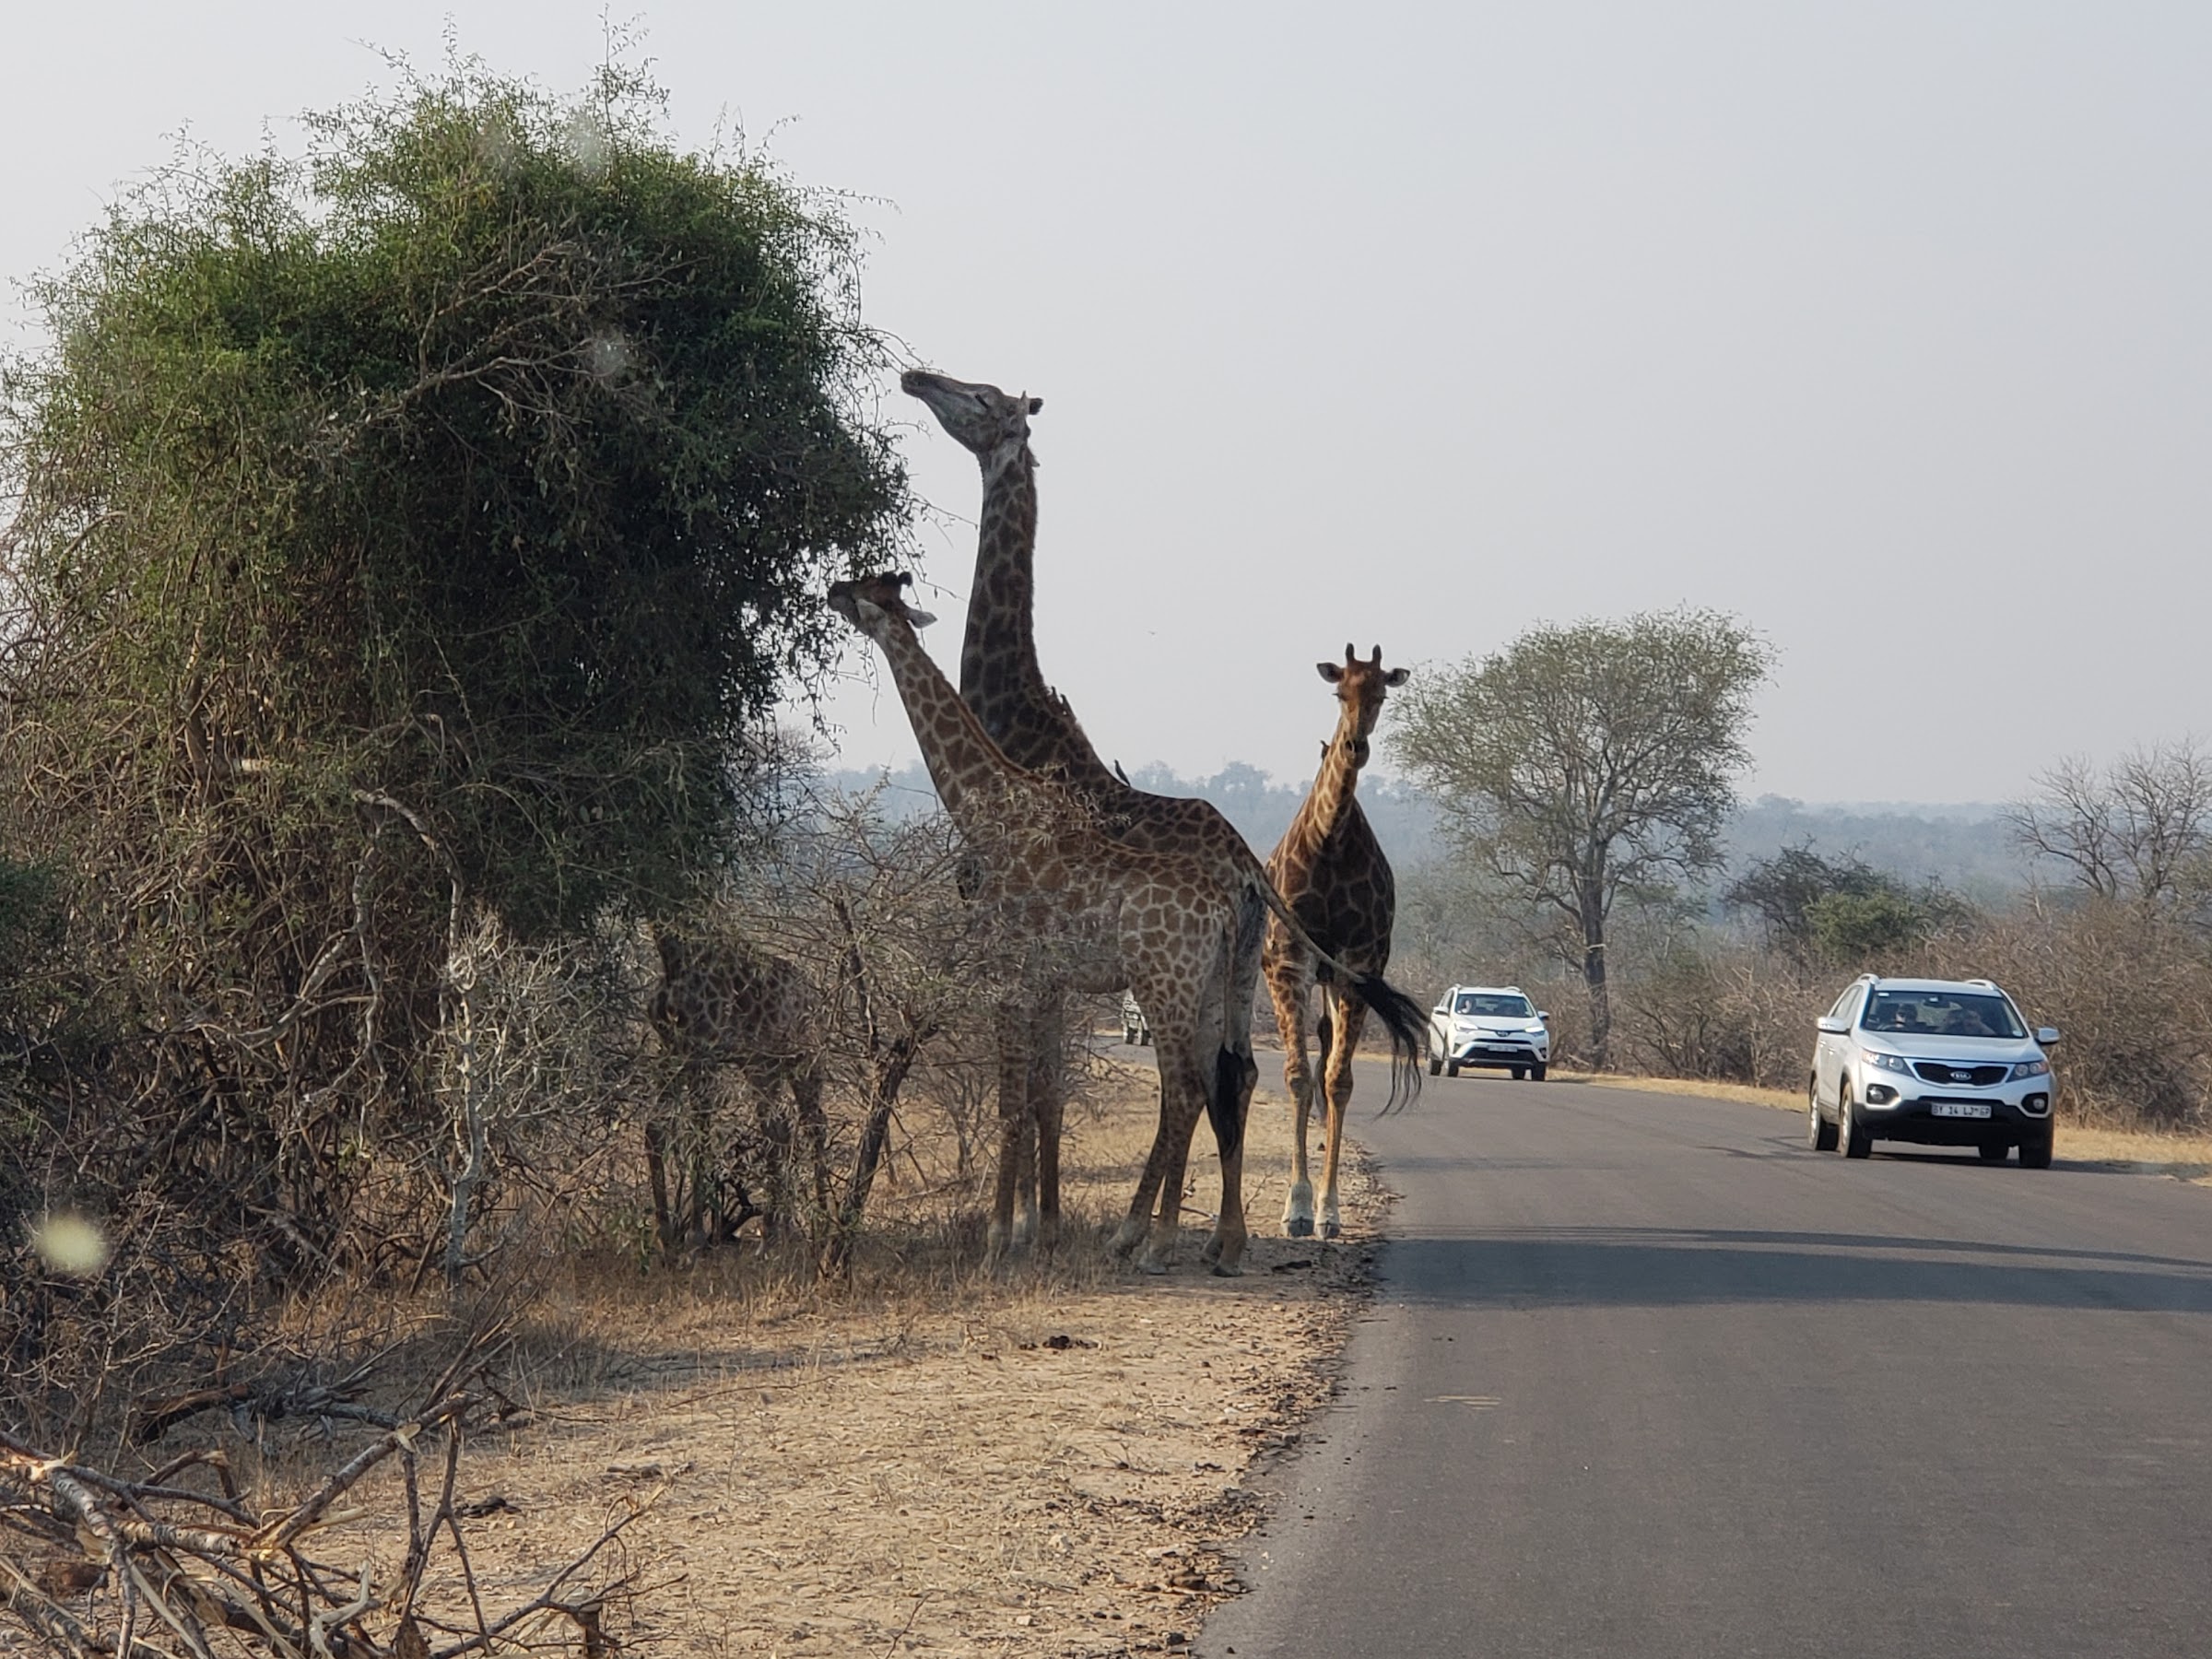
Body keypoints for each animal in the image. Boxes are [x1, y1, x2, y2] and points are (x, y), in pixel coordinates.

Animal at [645, 929, 836, 1256]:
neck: (675, 959)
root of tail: (816, 996)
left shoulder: (703, 1054)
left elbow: (700, 1135)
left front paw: (695, 1238)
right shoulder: (672, 1050)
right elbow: (655, 1126)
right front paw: (665, 1236)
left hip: (806, 1060)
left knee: (814, 1125)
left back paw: (821, 1228)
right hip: (763, 1067)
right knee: (778, 1130)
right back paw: (774, 1235)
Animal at [1265, 641, 1416, 1239]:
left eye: (1381, 694)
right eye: (1338, 692)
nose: (1355, 746)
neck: (1329, 841)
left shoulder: (1357, 966)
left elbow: (1338, 1081)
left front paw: (1328, 1211)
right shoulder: (1290, 962)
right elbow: (1297, 1077)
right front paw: (1296, 1209)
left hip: (1337, 979)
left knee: (1330, 1058)